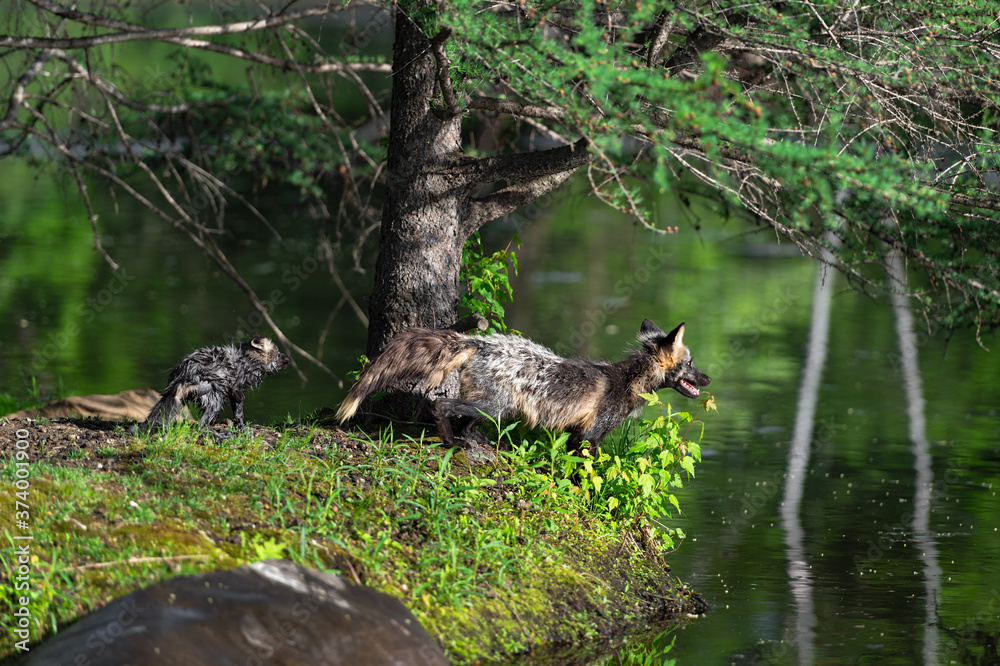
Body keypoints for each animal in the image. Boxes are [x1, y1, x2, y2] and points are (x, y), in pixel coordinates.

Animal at [140, 337, 290, 435]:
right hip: (213, 390)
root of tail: (182, 378)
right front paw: (241, 428)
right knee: (202, 423)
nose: (288, 359)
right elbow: (238, 409)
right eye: (277, 352)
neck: (247, 361)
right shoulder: (237, 386)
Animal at [336, 319, 710, 454]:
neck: (628, 382)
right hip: (496, 406)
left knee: (467, 422)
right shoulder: (589, 436)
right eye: (692, 364)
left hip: (494, 407)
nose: (709, 380)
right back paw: (451, 442)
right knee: (442, 407)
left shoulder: (576, 434)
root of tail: (479, 341)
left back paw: (479, 442)